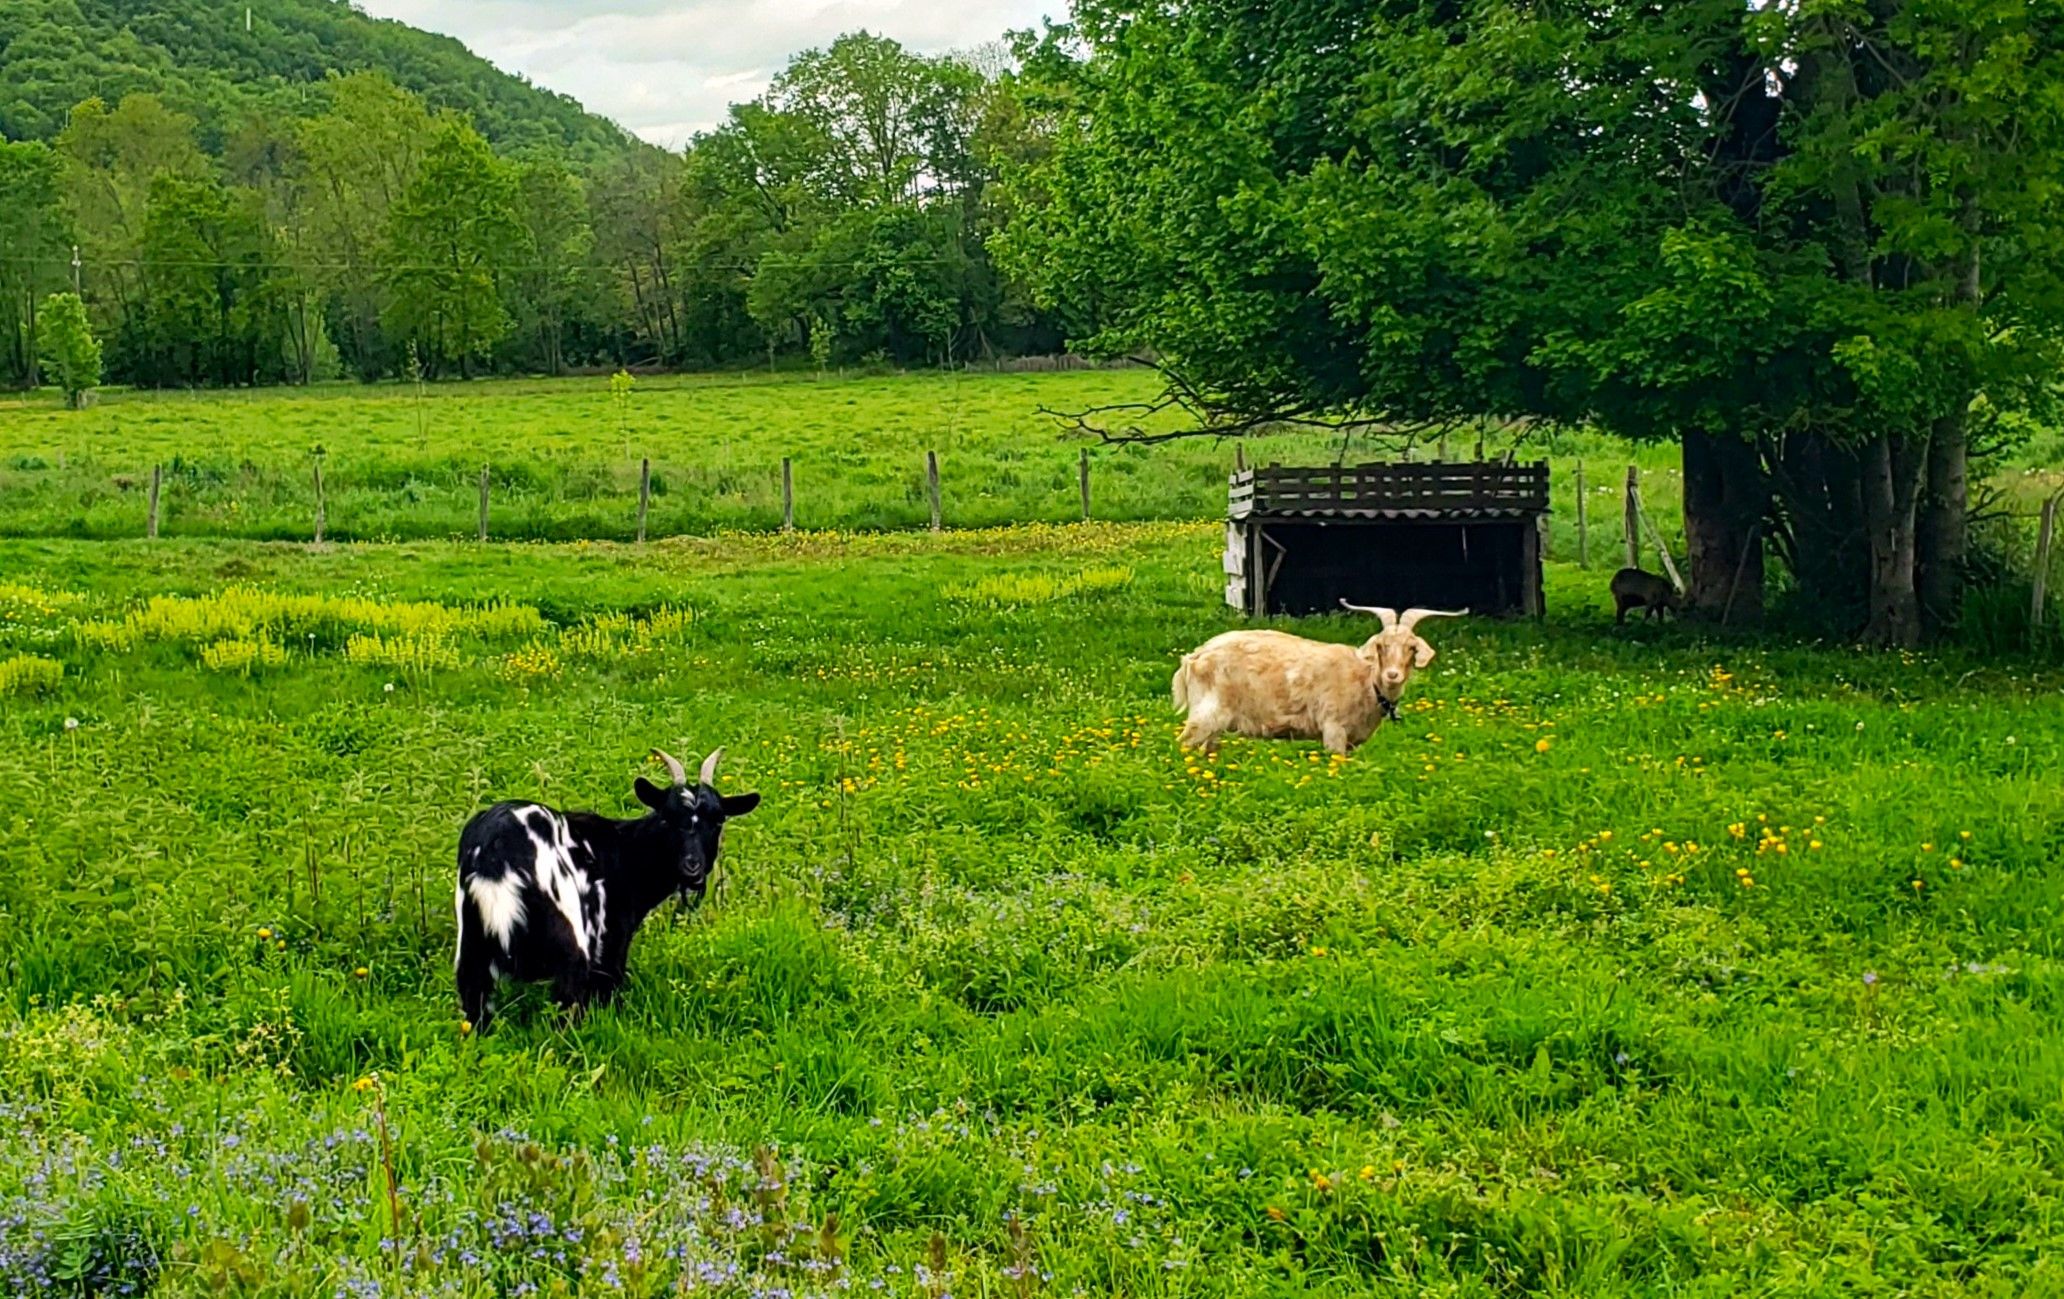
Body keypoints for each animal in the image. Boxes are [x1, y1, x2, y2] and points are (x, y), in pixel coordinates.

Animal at [456, 743, 763, 1028]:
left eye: (719, 820)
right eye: (667, 817)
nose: (692, 868)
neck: (626, 852)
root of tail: (496, 850)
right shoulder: (611, 943)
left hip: (471, 943)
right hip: (570, 942)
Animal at [1180, 603, 1469, 755]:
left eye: (1411, 647)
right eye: (1380, 646)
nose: (1392, 674)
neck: (1365, 681)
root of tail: (1196, 655)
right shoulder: (1334, 729)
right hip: (1207, 712)